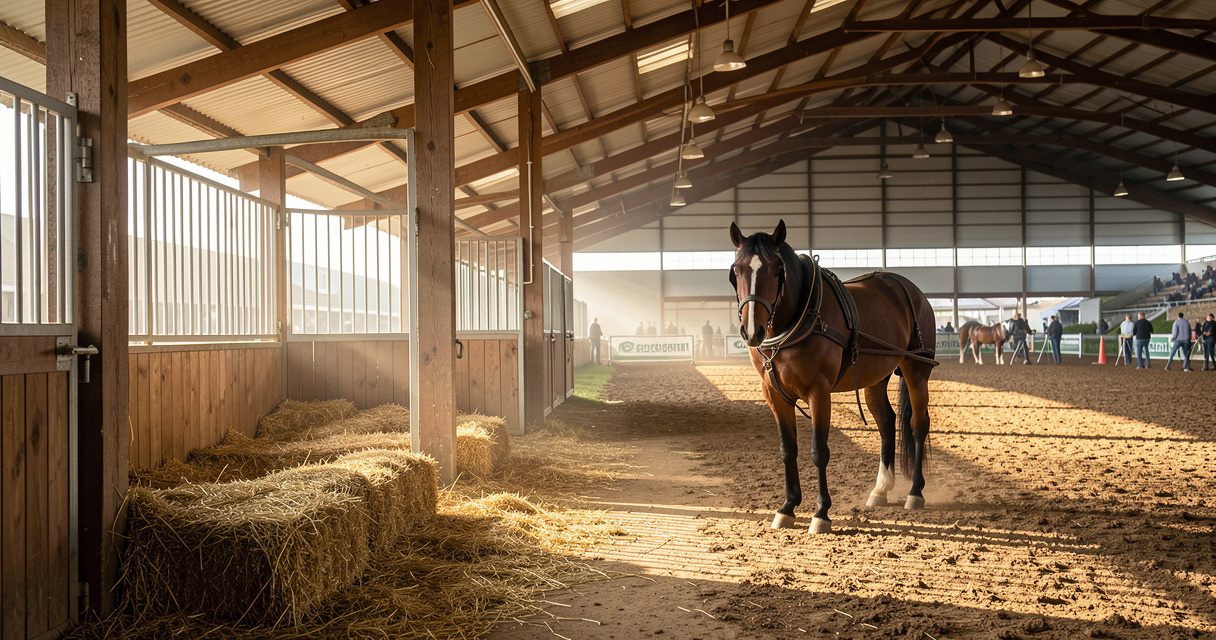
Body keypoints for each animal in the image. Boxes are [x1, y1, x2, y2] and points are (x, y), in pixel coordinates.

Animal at [729, 220, 939, 534]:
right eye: (737, 270)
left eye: (777, 270)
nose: (752, 331)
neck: (799, 317)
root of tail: (913, 291)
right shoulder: (774, 393)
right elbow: (788, 449)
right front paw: (787, 508)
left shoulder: (819, 391)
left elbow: (819, 451)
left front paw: (821, 513)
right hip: (876, 377)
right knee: (886, 422)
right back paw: (880, 489)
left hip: (917, 369)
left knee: (917, 425)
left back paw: (915, 492)